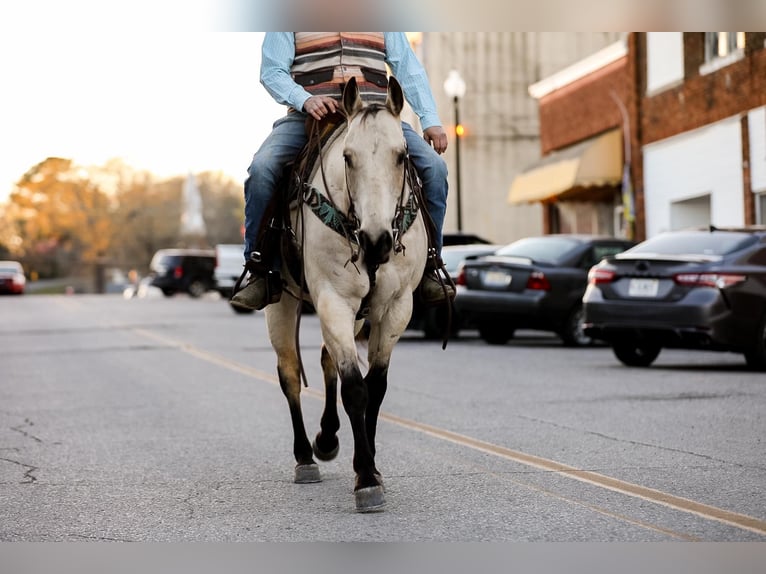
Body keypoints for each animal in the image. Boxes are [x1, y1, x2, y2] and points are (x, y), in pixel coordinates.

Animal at [264, 76, 432, 512]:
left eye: (401, 156)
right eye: (348, 157)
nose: (376, 241)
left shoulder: (395, 306)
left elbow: (376, 387)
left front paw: (370, 465)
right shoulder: (332, 301)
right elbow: (355, 388)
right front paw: (367, 479)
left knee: (326, 361)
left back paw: (326, 438)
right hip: (281, 303)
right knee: (289, 373)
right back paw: (306, 457)